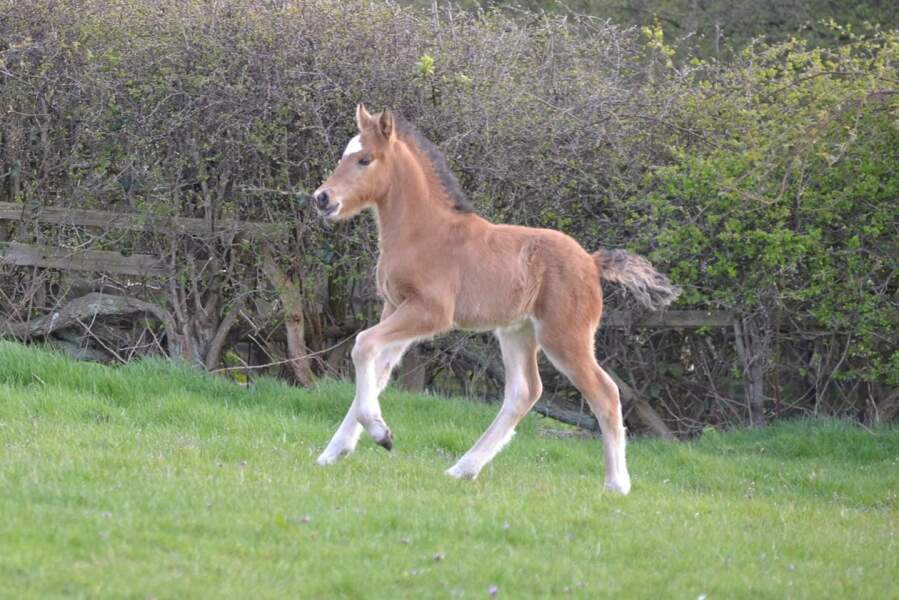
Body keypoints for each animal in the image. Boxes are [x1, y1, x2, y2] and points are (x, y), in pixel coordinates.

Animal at [310, 105, 680, 494]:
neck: (423, 233)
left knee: (605, 393)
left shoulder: (429, 312)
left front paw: (381, 435)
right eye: (344, 154)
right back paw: (463, 469)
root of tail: (592, 262)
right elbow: (377, 371)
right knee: (524, 392)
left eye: (365, 159)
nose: (322, 198)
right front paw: (335, 452)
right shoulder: (394, 306)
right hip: (517, 331)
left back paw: (617, 484)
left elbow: (363, 345)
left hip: (565, 337)